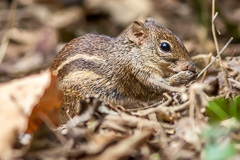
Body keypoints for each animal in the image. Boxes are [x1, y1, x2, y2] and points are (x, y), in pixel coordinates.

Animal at [51, 17, 197, 119]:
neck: (131, 53)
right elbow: (161, 87)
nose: (191, 65)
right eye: (165, 46)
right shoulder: (137, 77)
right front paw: (185, 76)